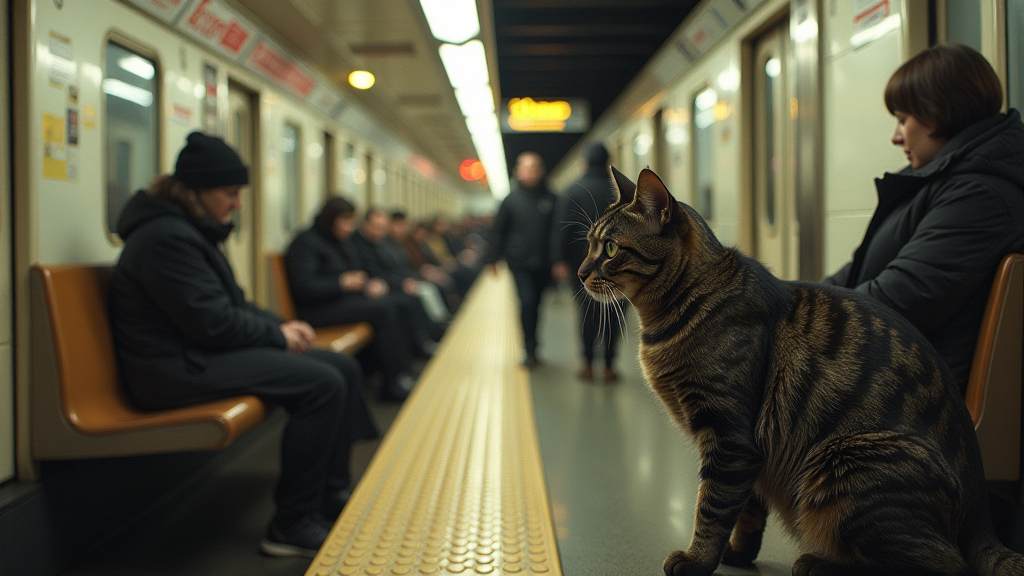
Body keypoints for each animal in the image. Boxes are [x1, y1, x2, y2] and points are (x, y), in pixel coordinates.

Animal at [581, 167, 1019, 573]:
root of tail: (982, 513)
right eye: (588, 245)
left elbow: (712, 509)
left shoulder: (730, 437)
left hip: (843, 464)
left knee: (943, 563)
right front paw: (738, 553)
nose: (582, 272)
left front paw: (697, 560)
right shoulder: (751, 452)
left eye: (610, 248)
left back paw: (823, 563)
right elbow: (748, 510)